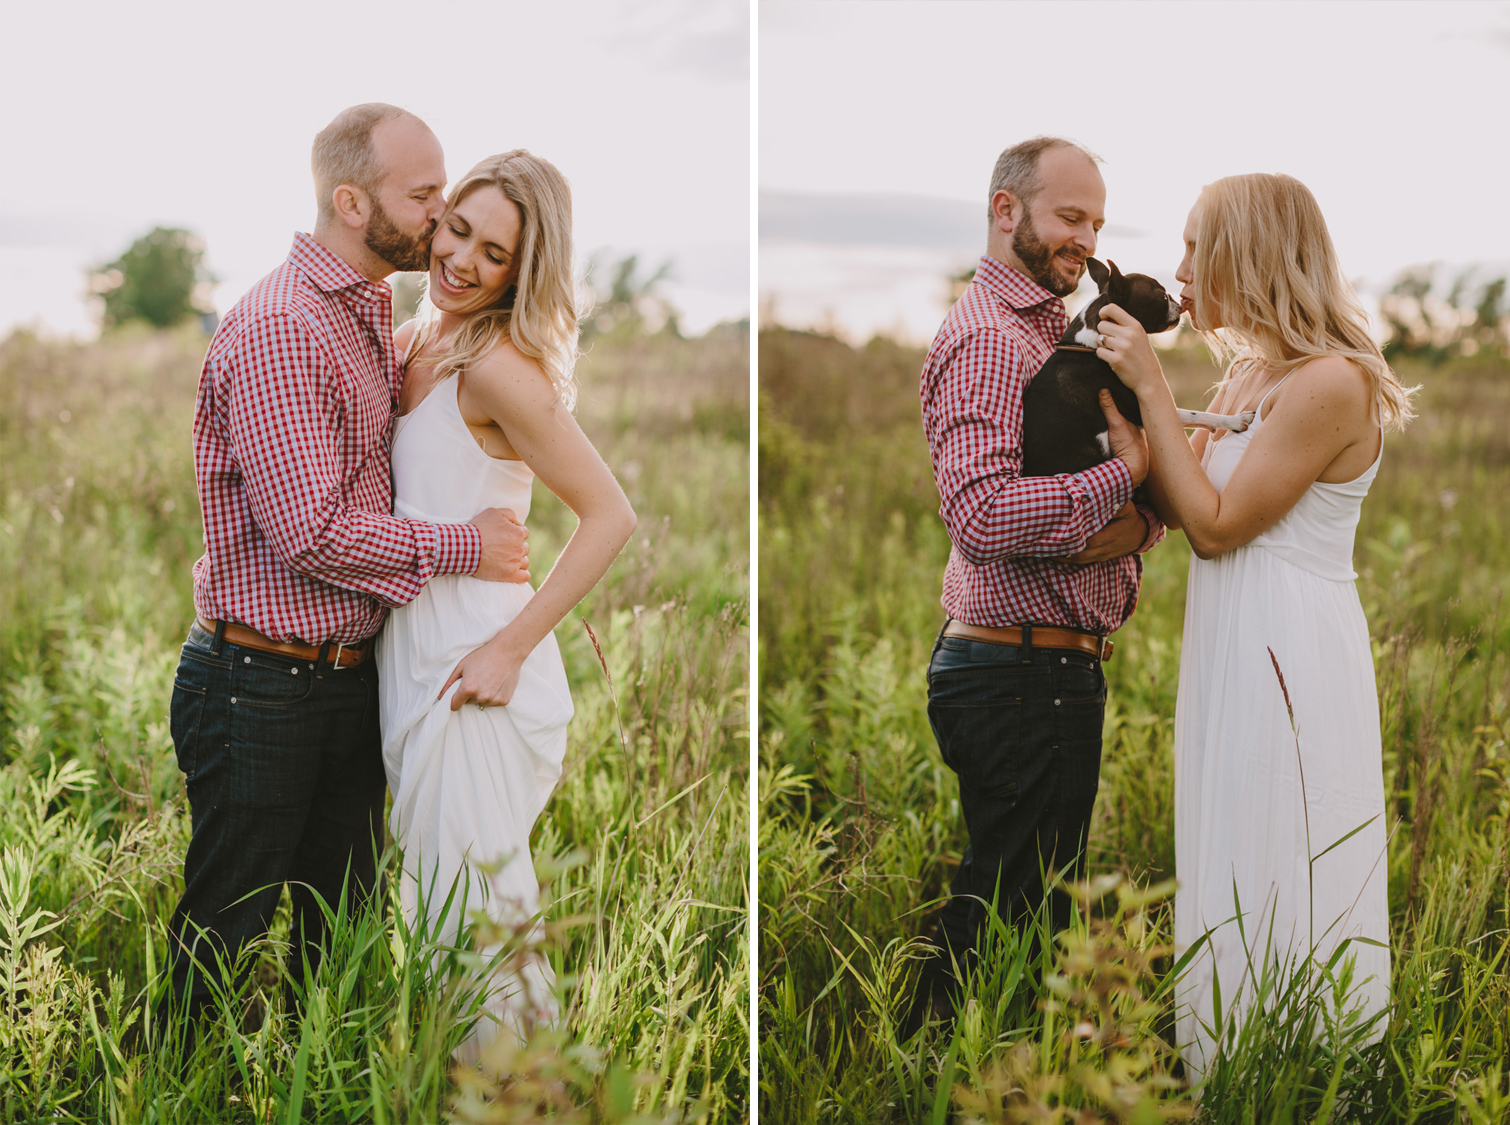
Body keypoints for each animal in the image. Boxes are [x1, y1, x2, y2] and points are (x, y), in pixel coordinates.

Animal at [1020, 256, 1256, 477]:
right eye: (1162, 296)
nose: (1179, 303)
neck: (1090, 346)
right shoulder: (1139, 410)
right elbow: (1194, 414)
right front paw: (1235, 420)